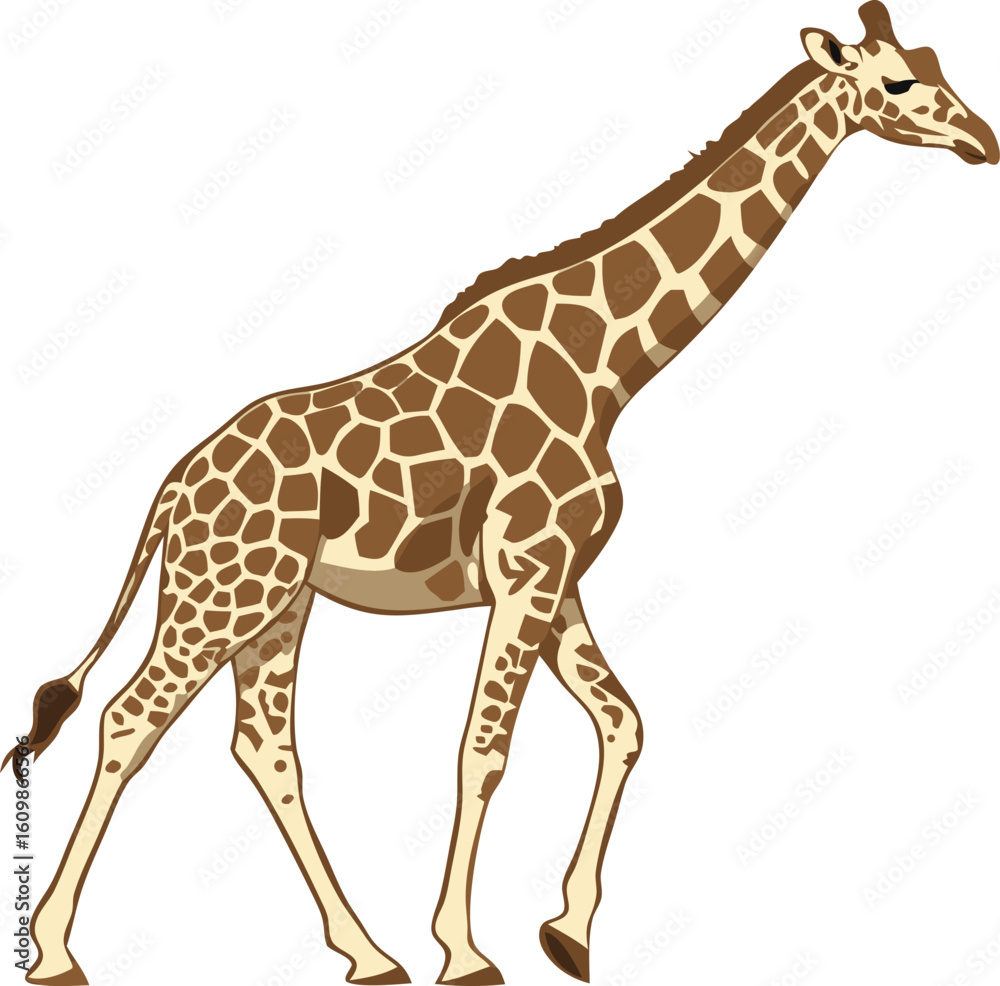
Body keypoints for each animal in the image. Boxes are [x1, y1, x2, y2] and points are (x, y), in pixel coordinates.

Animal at [7, 4, 996, 984]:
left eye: (940, 60)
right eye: (900, 81)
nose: (982, 141)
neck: (607, 368)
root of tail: (174, 487)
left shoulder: (556, 576)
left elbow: (623, 722)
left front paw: (569, 933)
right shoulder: (528, 564)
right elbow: (483, 750)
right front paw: (465, 950)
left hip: (278, 602)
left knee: (263, 745)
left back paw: (368, 953)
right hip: (223, 593)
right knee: (131, 718)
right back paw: (55, 951)